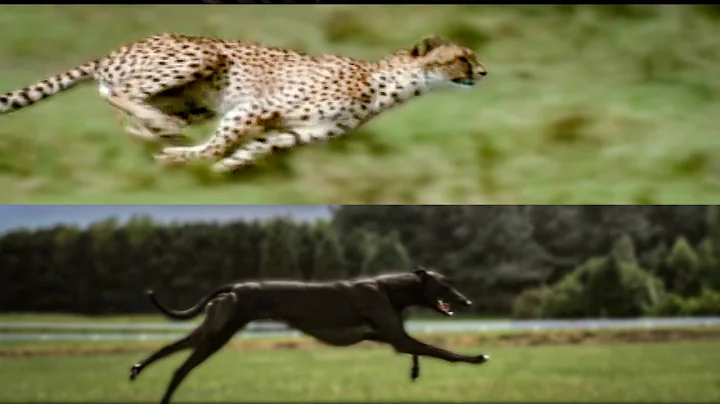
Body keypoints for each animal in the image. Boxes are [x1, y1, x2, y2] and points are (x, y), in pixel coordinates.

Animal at [0, 33, 487, 174]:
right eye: (462, 57)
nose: (483, 73)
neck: (385, 82)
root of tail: (117, 49)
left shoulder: (291, 134)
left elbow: (248, 151)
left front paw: (216, 171)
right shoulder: (252, 108)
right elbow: (220, 144)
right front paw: (188, 160)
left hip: (194, 101)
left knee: (126, 106)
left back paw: (152, 129)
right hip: (201, 55)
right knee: (118, 90)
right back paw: (161, 128)